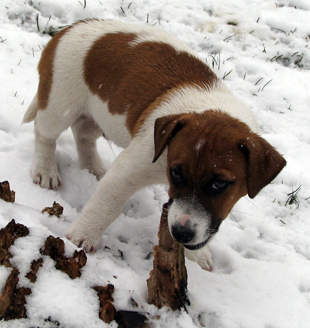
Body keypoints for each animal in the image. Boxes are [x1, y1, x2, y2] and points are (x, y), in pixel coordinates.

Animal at [23, 21, 286, 272]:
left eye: (220, 184)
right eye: (176, 173)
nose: (181, 233)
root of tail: (68, 29)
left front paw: (197, 254)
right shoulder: (130, 168)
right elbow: (107, 204)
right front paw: (82, 236)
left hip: (100, 115)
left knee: (83, 135)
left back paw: (93, 168)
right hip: (59, 104)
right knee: (44, 134)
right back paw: (45, 170)